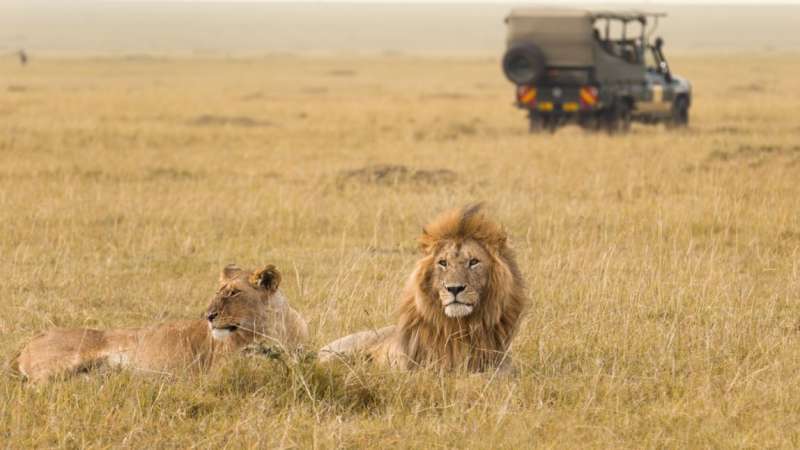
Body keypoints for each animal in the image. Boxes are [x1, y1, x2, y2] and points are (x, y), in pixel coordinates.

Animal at [11, 264, 308, 383]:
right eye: (219, 290)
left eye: (234, 293)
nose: (208, 316)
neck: (275, 328)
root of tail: (29, 341)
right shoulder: (219, 372)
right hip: (61, 364)